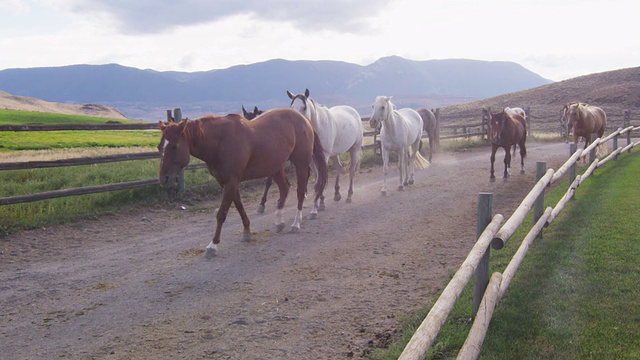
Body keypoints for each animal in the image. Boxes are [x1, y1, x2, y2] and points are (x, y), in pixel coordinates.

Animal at [158, 108, 328, 258]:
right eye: (160, 146)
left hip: (301, 163)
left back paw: (296, 223)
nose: (163, 178)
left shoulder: (232, 181)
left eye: (174, 146)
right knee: (285, 188)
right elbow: (239, 205)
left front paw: (213, 245)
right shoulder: (226, 182)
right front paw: (246, 232)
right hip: (275, 167)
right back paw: (279, 221)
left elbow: (222, 213)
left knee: (300, 191)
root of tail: (304, 119)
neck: (220, 141)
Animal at [286, 88, 362, 218]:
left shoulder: (323, 157)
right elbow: (318, 179)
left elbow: (320, 181)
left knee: (351, 171)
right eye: (291, 107)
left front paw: (315, 208)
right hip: (334, 154)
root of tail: (354, 112)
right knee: (339, 168)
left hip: (354, 150)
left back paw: (349, 196)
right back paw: (337, 194)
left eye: (304, 107)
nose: (295, 126)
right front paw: (319, 204)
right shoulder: (311, 160)